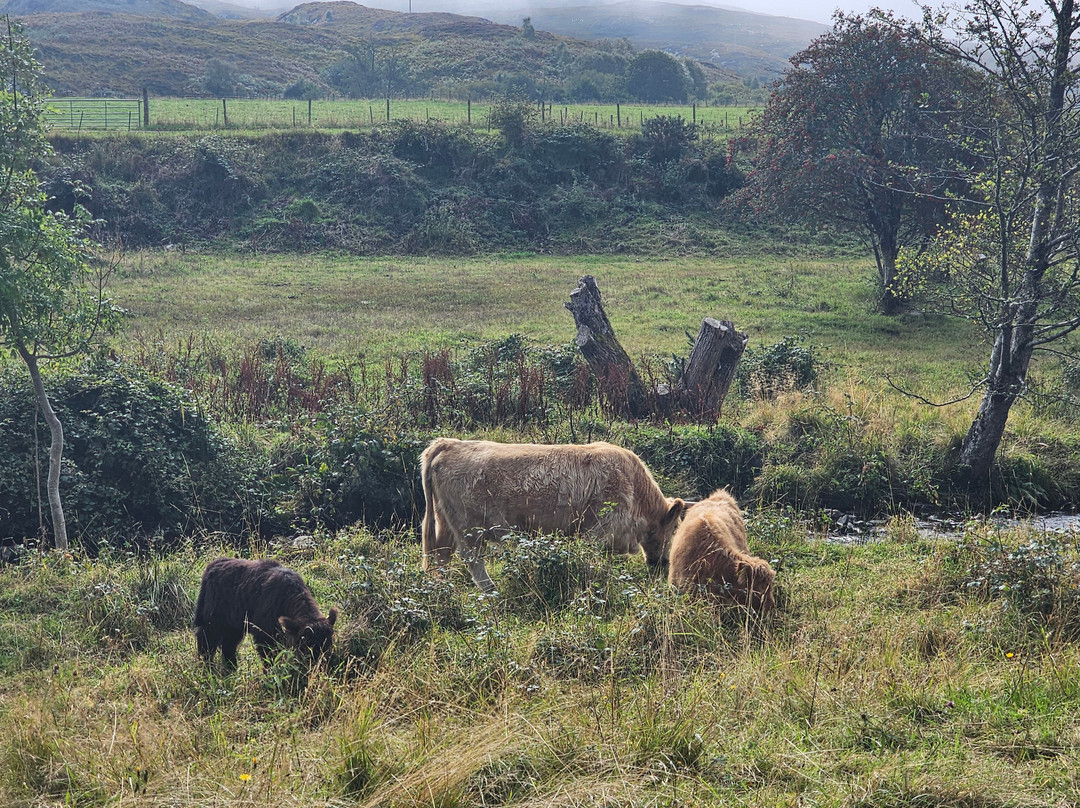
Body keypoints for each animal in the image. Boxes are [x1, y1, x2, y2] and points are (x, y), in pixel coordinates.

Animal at [194, 557, 336, 669]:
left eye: (328, 643)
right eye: (306, 644)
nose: (319, 665)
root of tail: (212, 566)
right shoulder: (264, 634)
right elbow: (270, 658)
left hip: (234, 624)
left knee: (228, 645)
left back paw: (232, 668)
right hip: (213, 619)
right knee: (206, 640)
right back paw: (207, 666)